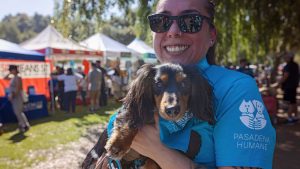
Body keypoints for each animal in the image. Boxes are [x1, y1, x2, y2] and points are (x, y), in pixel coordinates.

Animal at [81, 62, 214, 168]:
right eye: (158, 84)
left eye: (184, 83)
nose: (172, 110)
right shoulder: (130, 112)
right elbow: (130, 120)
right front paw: (118, 144)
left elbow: (153, 162)